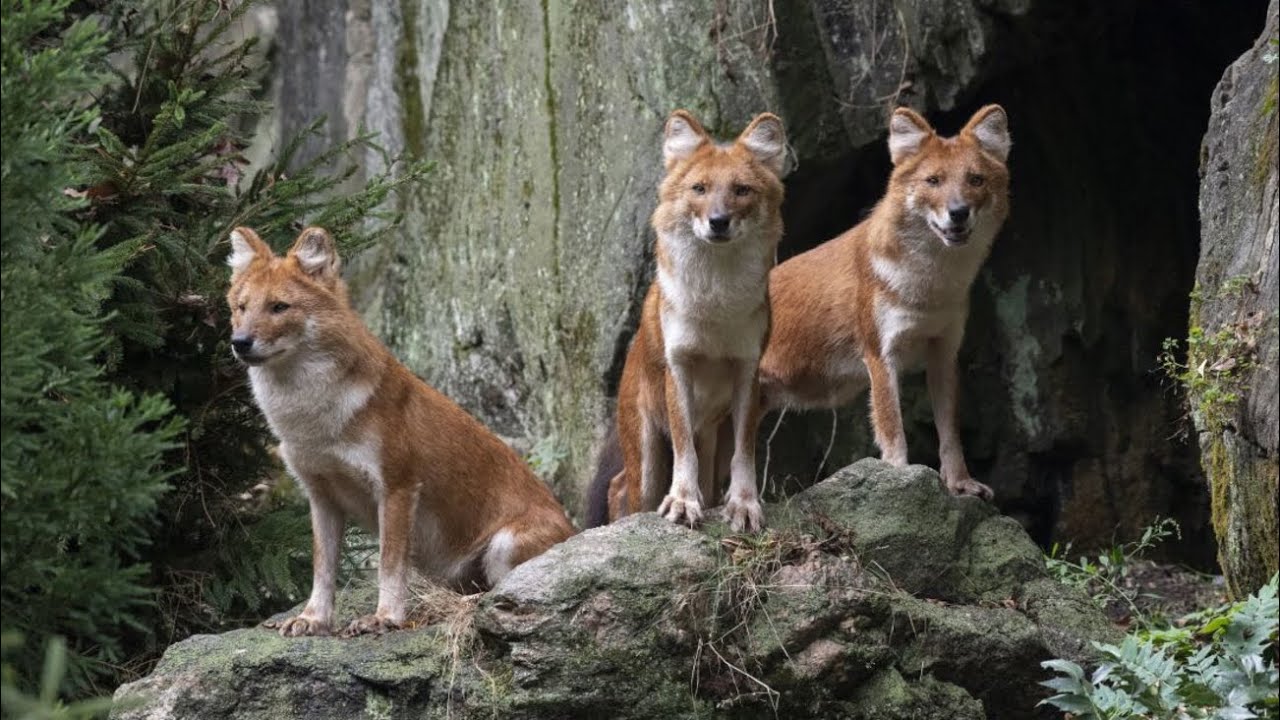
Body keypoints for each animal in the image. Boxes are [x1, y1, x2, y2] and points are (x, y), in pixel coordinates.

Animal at [226, 226, 574, 637]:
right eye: (241, 307)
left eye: (279, 307)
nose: (240, 342)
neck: (313, 420)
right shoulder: (321, 495)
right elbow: (322, 567)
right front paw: (313, 619)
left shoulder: (398, 487)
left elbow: (389, 563)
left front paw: (385, 617)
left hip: (504, 543)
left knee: (501, 591)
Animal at [592, 109, 787, 533]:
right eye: (699, 188)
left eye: (742, 190)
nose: (718, 221)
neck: (716, 302)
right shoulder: (678, 367)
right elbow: (683, 447)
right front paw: (682, 501)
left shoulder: (747, 372)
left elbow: (745, 452)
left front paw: (744, 504)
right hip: (646, 453)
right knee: (623, 487)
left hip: (715, 435)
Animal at [758, 104, 1011, 500]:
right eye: (933, 181)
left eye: (975, 180)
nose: (958, 211)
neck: (930, 285)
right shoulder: (880, 353)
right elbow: (892, 426)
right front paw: (900, 479)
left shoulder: (944, 352)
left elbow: (950, 433)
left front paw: (960, 484)